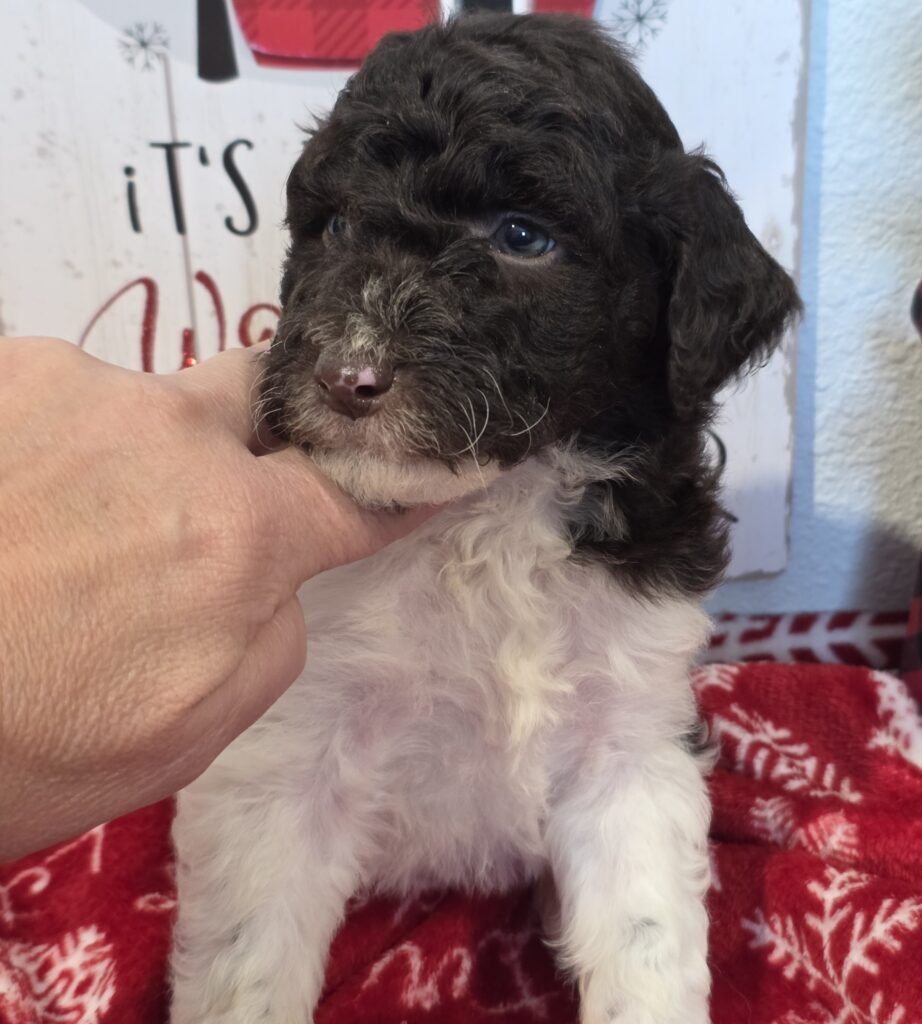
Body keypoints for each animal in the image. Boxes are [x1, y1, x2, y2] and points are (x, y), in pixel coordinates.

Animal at [169, 13, 800, 1024]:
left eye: (522, 237)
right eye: (335, 226)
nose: (344, 378)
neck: (489, 512)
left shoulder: (631, 739)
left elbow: (647, 938)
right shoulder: (280, 757)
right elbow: (247, 961)